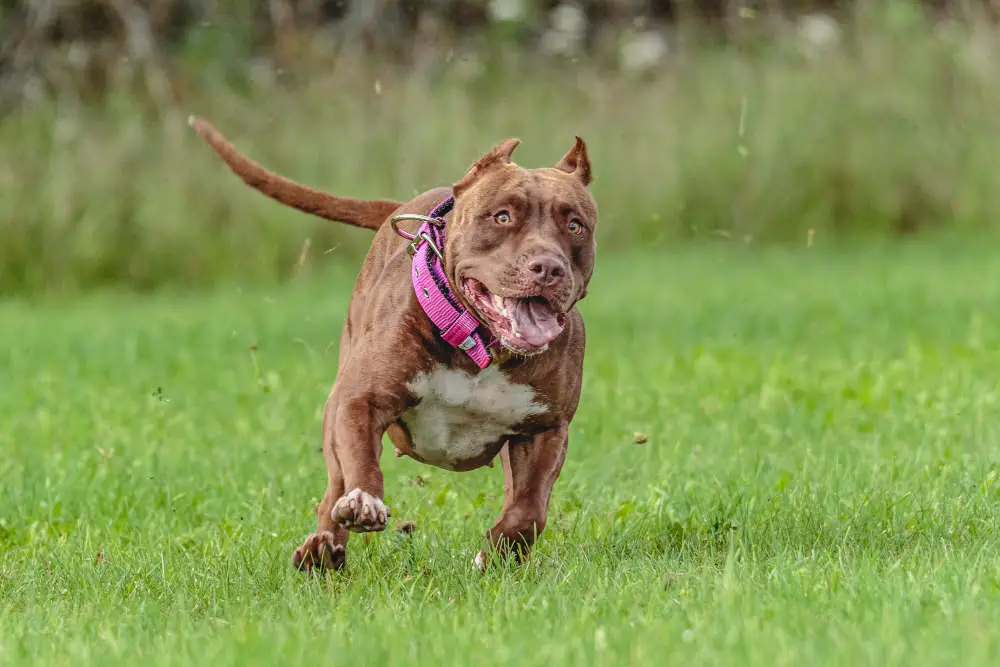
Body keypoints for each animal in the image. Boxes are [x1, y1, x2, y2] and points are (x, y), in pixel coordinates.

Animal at [190, 112, 596, 572]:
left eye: (575, 225)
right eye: (503, 217)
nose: (547, 268)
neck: (480, 345)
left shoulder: (545, 428)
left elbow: (528, 510)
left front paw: (494, 556)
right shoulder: (359, 399)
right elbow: (361, 463)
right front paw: (364, 501)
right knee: (333, 486)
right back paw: (322, 548)